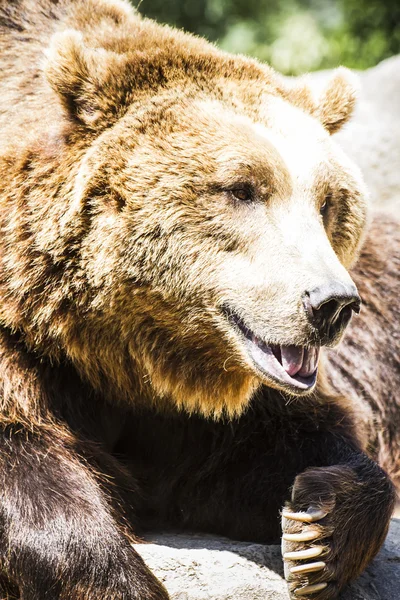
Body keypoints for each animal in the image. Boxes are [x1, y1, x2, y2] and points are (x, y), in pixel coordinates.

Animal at [0, 0, 396, 596]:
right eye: (242, 189)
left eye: (328, 200)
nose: (331, 303)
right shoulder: (26, 349)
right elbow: (28, 463)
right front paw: (124, 580)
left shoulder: (198, 405)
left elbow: (261, 454)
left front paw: (317, 529)